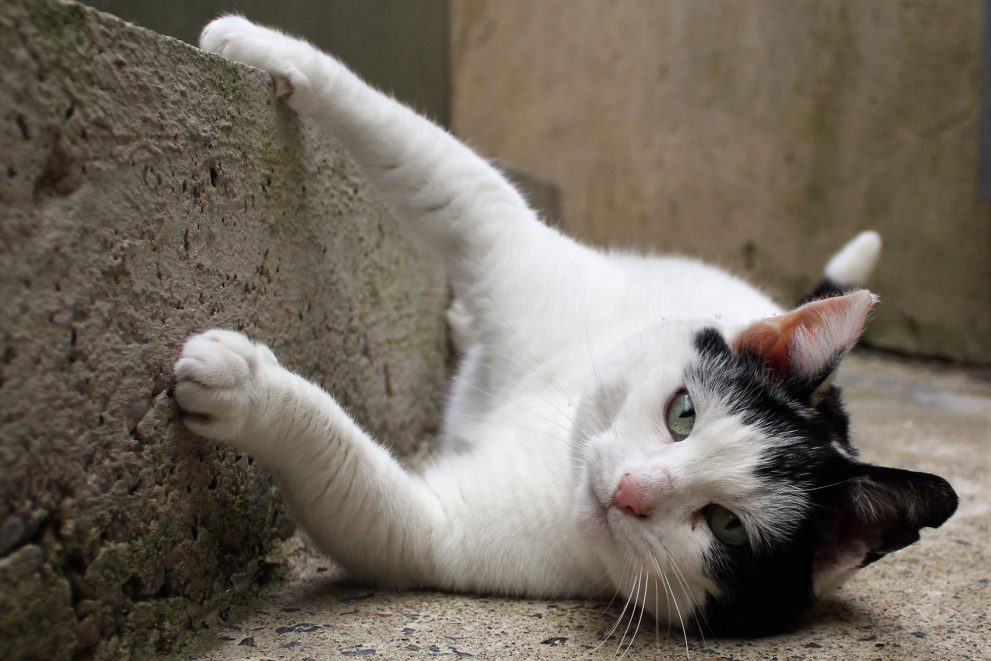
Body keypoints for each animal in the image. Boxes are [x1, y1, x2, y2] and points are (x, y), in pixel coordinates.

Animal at [174, 14, 956, 636]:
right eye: (682, 413)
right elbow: (422, 154)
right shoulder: (502, 239)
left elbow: (342, 464)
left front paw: (243, 387)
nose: (630, 491)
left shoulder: (427, 531)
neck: (557, 430)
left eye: (728, 527)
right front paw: (257, 45)